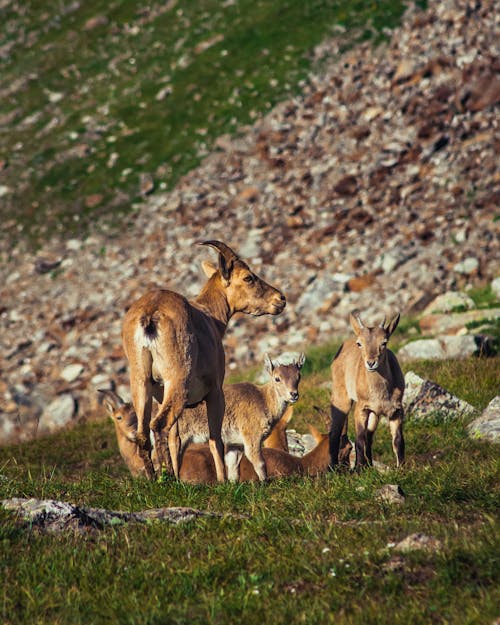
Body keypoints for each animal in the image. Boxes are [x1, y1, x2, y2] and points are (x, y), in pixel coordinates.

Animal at [120, 241, 286, 480]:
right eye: (248, 277)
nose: (280, 299)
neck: (211, 318)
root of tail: (149, 316)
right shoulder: (215, 391)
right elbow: (215, 439)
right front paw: (223, 480)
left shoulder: (161, 396)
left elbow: (176, 439)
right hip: (178, 380)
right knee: (159, 425)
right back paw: (167, 479)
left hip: (141, 382)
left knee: (144, 433)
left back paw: (154, 479)